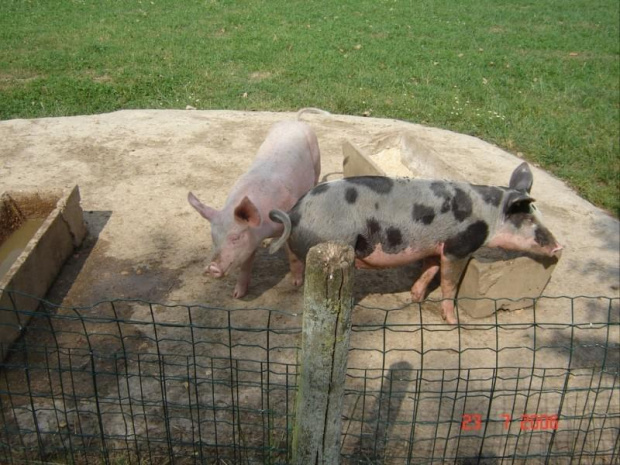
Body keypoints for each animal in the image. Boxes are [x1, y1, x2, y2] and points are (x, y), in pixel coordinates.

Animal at [188, 117, 320, 298]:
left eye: (235, 237)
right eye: (213, 237)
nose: (211, 267)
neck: (263, 231)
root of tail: (295, 121)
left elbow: (292, 254)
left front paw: (296, 284)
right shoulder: (250, 243)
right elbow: (246, 264)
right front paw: (237, 295)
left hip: (317, 160)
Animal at [268, 163, 564, 322]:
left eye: (539, 215)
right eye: (531, 221)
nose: (559, 247)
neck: (490, 216)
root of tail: (296, 211)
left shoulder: (435, 245)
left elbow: (430, 269)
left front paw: (416, 298)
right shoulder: (458, 246)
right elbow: (449, 282)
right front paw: (453, 322)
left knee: (292, 255)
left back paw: (294, 283)